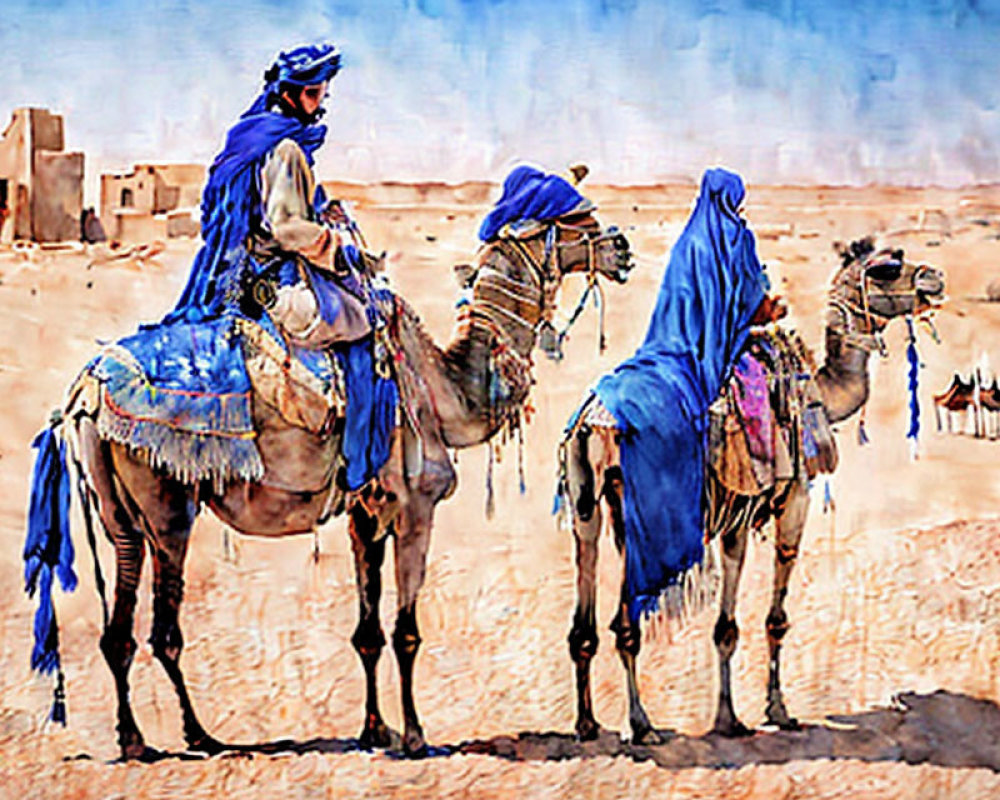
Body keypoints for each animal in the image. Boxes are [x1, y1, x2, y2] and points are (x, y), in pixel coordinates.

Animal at [29, 183, 632, 764]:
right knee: (163, 630)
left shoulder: (365, 512)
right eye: (574, 221)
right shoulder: (416, 506)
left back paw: (136, 738)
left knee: (120, 626)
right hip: (166, 502)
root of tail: (83, 393)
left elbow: (368, 632)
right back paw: (198, 736)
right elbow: (406, 631)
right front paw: (416, 736)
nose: (622, 247)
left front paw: (376, 729)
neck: (446, 390)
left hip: (118, 511)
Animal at [564, 238, 944, 744]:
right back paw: (641, 725)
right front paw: (772, 711)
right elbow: (771, 619)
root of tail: (592, 420)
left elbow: (726, 627)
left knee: (586, 615)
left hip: (587, 500)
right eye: (886, 268)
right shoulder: (793, 496)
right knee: (626, 623)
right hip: (640, 507)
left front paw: (729, 717)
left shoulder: (735, 515)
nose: (933, 278)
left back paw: (588, 723)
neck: (818, 388)